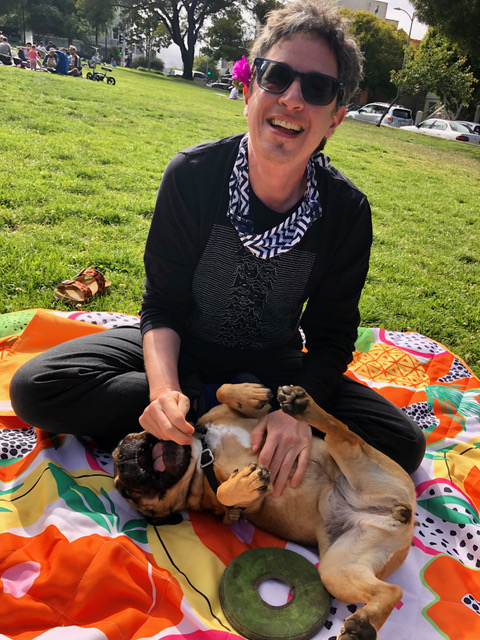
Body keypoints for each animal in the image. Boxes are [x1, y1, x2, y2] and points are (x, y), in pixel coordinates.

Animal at [113, 382, 416, 640]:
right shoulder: (238, 508)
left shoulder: (250, 418)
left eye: (129, 437)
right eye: (126, 492)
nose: (124, 458)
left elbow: (224, 392)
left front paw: (249, 393)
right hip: (337, 568)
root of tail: (402, 515)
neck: (201, 456)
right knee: (392, 591)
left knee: (345, 434)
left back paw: (300, 405)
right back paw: (362, 628)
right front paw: (244, 482)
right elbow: (225, 492)